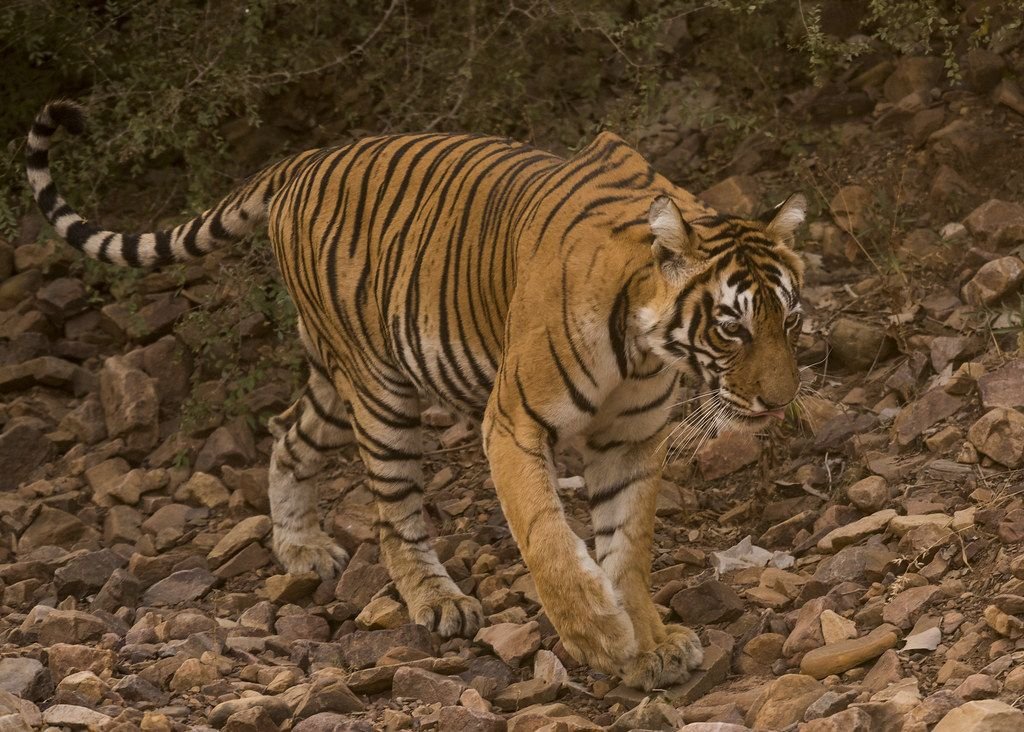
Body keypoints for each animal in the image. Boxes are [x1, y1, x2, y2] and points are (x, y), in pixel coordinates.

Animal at [26, 100, 806, 691]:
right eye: (732, 327)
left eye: (790, 321)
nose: (777, 403)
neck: (645, 347)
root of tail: (303, 160)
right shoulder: (512, 422)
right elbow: (546, 536)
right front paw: (597, 634)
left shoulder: (633, 439)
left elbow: (628, 546)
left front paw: (650, 640)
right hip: (380, 392)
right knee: (393, 517)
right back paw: (438, 599)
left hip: (333, 380)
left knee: (287, 434)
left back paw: (300, 547)